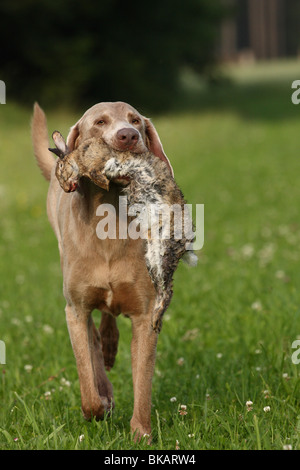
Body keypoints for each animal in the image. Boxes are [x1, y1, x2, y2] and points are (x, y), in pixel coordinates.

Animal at [31, 100, 173, 440]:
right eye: (99, 122)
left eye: (136, 120)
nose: (128, 135)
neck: (110, 222)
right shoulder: (75, 310)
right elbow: (87, 381)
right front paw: (100, 404)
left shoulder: (146, 315)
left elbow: (143, 382)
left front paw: (141, 433)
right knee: (94, 340)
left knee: (108, 320)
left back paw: (110, 344)